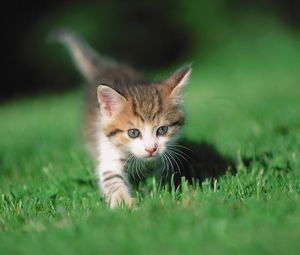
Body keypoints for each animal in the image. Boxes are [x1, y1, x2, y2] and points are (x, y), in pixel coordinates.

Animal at [53, 30, 191, 208]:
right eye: (133, 133)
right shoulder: (108, 153)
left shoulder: (162, 156)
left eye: (162, 129)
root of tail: (108, 67)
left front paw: (161, 191)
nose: (151, 149)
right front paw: (124, 203)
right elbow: (112, 178)